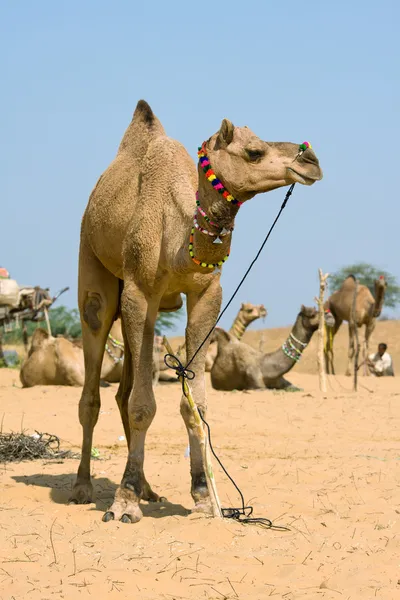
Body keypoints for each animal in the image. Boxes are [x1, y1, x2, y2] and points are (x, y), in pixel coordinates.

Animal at [69, 97, 322, 520]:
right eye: (255, 152)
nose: (312, 160)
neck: (176, 237)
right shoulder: (138, 290)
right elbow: (143, 405)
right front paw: (123, 503)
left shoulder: (206, 294)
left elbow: (196, 405)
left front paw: (205, 498)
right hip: (94, 266)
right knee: (94, 380)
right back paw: (83, 487)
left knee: (121, 392)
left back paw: (147, 488)